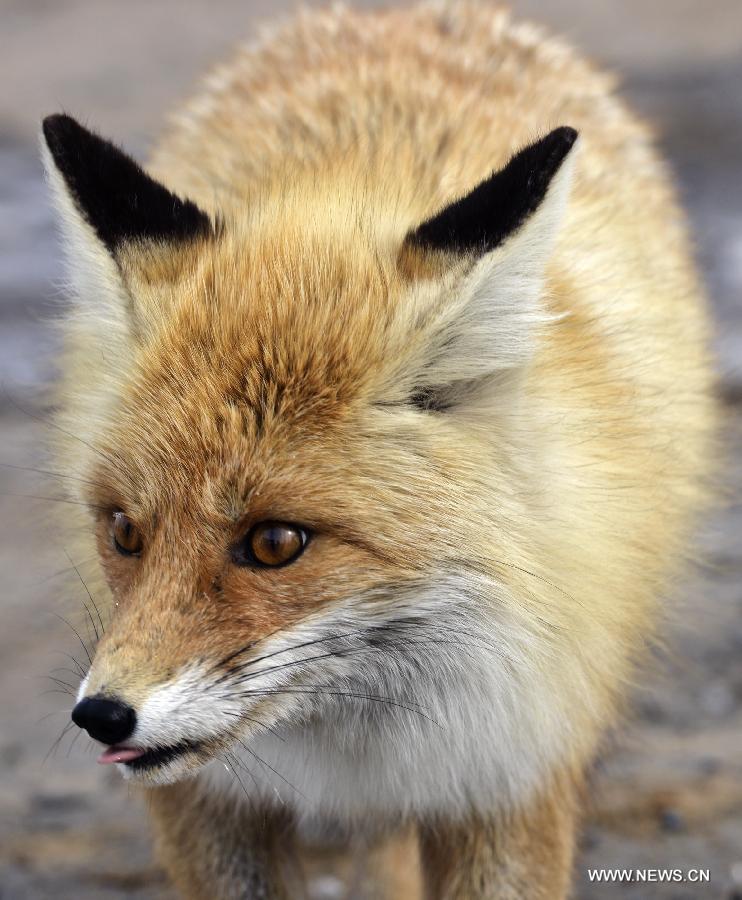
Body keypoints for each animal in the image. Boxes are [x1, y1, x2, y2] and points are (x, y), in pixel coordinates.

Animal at [40, 1, 716, 900]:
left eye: (276, 542)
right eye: (123, 532)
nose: (101, 715)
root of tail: (400, 12)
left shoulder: (512, 767)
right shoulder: (211, 805)